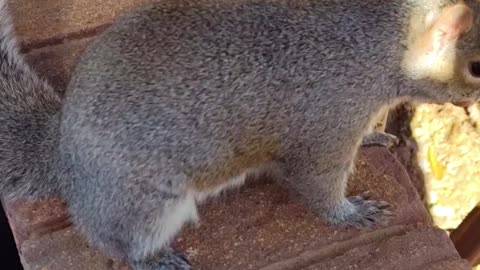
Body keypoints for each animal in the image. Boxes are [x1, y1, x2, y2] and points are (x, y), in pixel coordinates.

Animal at [0, 0, 480, 268]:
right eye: (475, 66)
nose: (474, 102)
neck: (372, 42)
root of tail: (60, 153)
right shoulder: (327, 123)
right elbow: (318, 183)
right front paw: (350, 214)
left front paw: (373, 138)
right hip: (143, 205)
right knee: (114, 240)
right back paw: (153, 260)